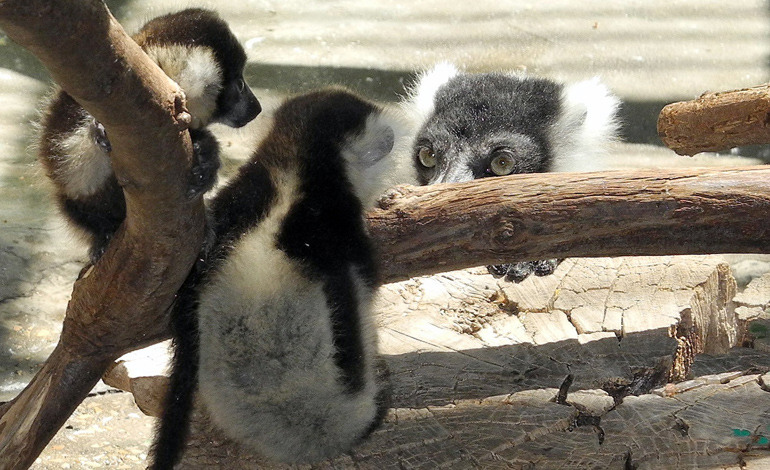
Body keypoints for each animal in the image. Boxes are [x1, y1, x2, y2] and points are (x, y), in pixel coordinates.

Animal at [37, 8, 261, 263]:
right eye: (240, 85)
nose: (256, 107)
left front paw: (206, 157)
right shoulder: (80, 101)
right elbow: (69, 170)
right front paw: (98, 132)